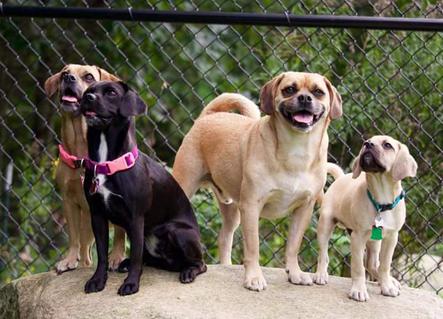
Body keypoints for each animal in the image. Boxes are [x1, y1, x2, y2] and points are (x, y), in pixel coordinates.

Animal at [44, 63, 126, 274]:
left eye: (89, 77)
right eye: (64, 73)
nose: (69, 78)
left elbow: (120, 234)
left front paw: (116, 257)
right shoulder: (69, 201)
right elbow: (73, 238)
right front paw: (69, 260)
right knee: (86, 253)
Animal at [80, 81, 208, 296]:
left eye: (111, 93)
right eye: (89, 92)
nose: (88, 98)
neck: (107, 163)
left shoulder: (136, 218)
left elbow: (136, 256)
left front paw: (131, 284)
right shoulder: (96, 215)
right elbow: (102, 254)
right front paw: (97, 280)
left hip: (178, 231)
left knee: (200, 264)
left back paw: (188, 272)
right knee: (148, 259)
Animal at [173, 71, 344, 292]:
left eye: (318, 92)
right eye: (289, 89)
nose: (305, 98)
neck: (296, 148)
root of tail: (209, 115)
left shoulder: (303, 209)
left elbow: (293, 245)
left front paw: (295, 273)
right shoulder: (252, 206)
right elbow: (253, 247)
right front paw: (254, 277)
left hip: (232, 211)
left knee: (224, 237)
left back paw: (227, 266)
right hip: (186, 186)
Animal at [314, 135, 418, 302]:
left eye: (387, 145)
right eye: (366, 142)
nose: (368, 144)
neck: (381, 200)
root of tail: (341, 178)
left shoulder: (391, 238)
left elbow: (384, 265)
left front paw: (387, 286)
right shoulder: (358, 238)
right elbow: (358, 268)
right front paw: (358, 290)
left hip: (375, 241)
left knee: (372, 264)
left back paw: (389, 280)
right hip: (325, 226)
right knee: (323, 255)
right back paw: (321, 274)